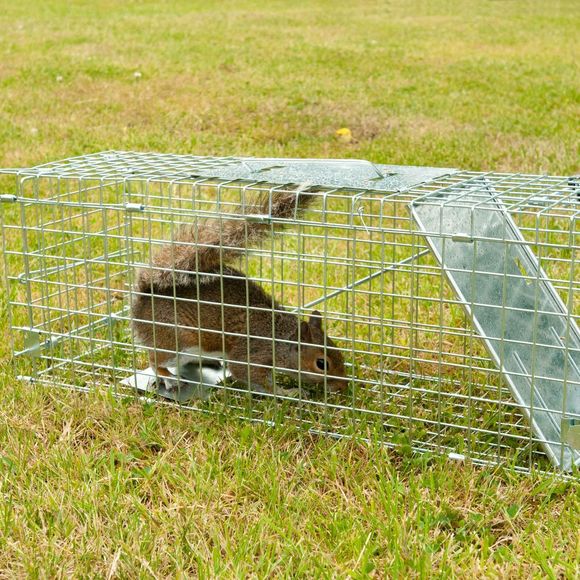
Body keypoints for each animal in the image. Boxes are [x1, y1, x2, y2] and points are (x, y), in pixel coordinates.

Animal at [130, 188, 348, 396]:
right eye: (322, 364)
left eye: (338, 352)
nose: (343, 386)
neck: (280, 338)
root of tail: (144, 297)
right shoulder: (252, 354)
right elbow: (250, 376)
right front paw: (289, 392)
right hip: (175, 340)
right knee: (156, 360)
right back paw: (169, 378)